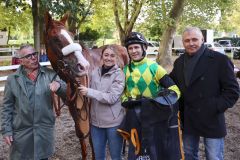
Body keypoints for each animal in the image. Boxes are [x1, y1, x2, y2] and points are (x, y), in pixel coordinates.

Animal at [43, 11, 128, 159]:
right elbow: (81, 135)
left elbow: (93, 138)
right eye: (55, 38)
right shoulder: (74, 108)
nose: (83, 66)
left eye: (72, 36)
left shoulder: (90, 109)